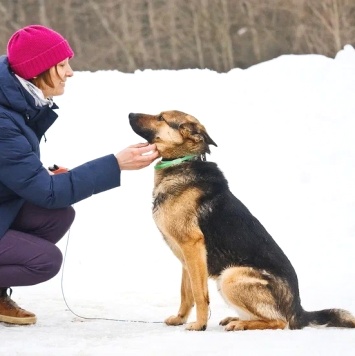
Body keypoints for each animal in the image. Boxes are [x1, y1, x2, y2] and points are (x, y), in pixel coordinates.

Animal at [129, 110, 355, 332]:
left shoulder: (192, 246)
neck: (183, 160)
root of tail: (298, 310)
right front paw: (180, 319)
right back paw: (236, 319)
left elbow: (200, 294)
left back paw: (241, 323)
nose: (130, 114)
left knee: (279, 322)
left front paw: (200, 325)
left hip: (230, 276)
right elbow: (187, 293)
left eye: (161, 117)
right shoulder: (186, 255)